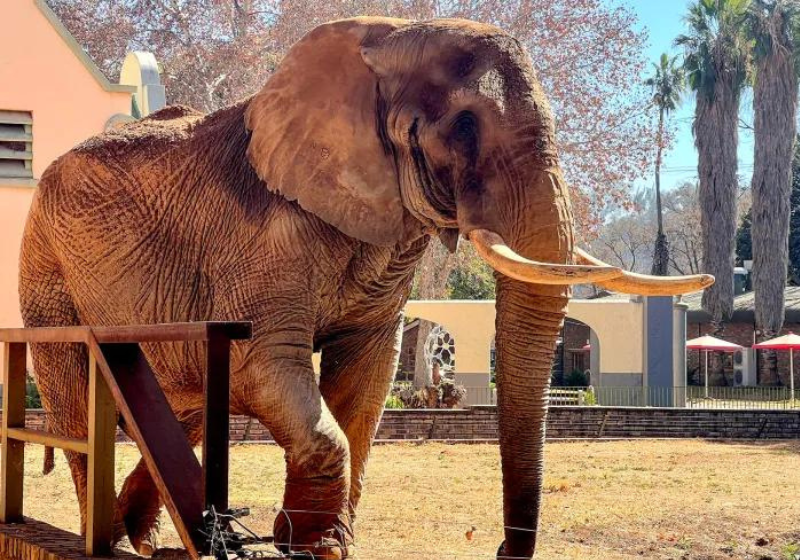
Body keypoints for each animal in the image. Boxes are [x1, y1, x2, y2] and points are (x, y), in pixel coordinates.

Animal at [18, 16, 713, 560]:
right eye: (464, 126)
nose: (498, 548)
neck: (385, 39)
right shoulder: (262, 238)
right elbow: (260, 364)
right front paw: (301, 544)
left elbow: (366, 375)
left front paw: (317, 545)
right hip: (44, 267)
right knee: (81, 404)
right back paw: (102, 538)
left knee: (174, 405)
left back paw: (142, 540)